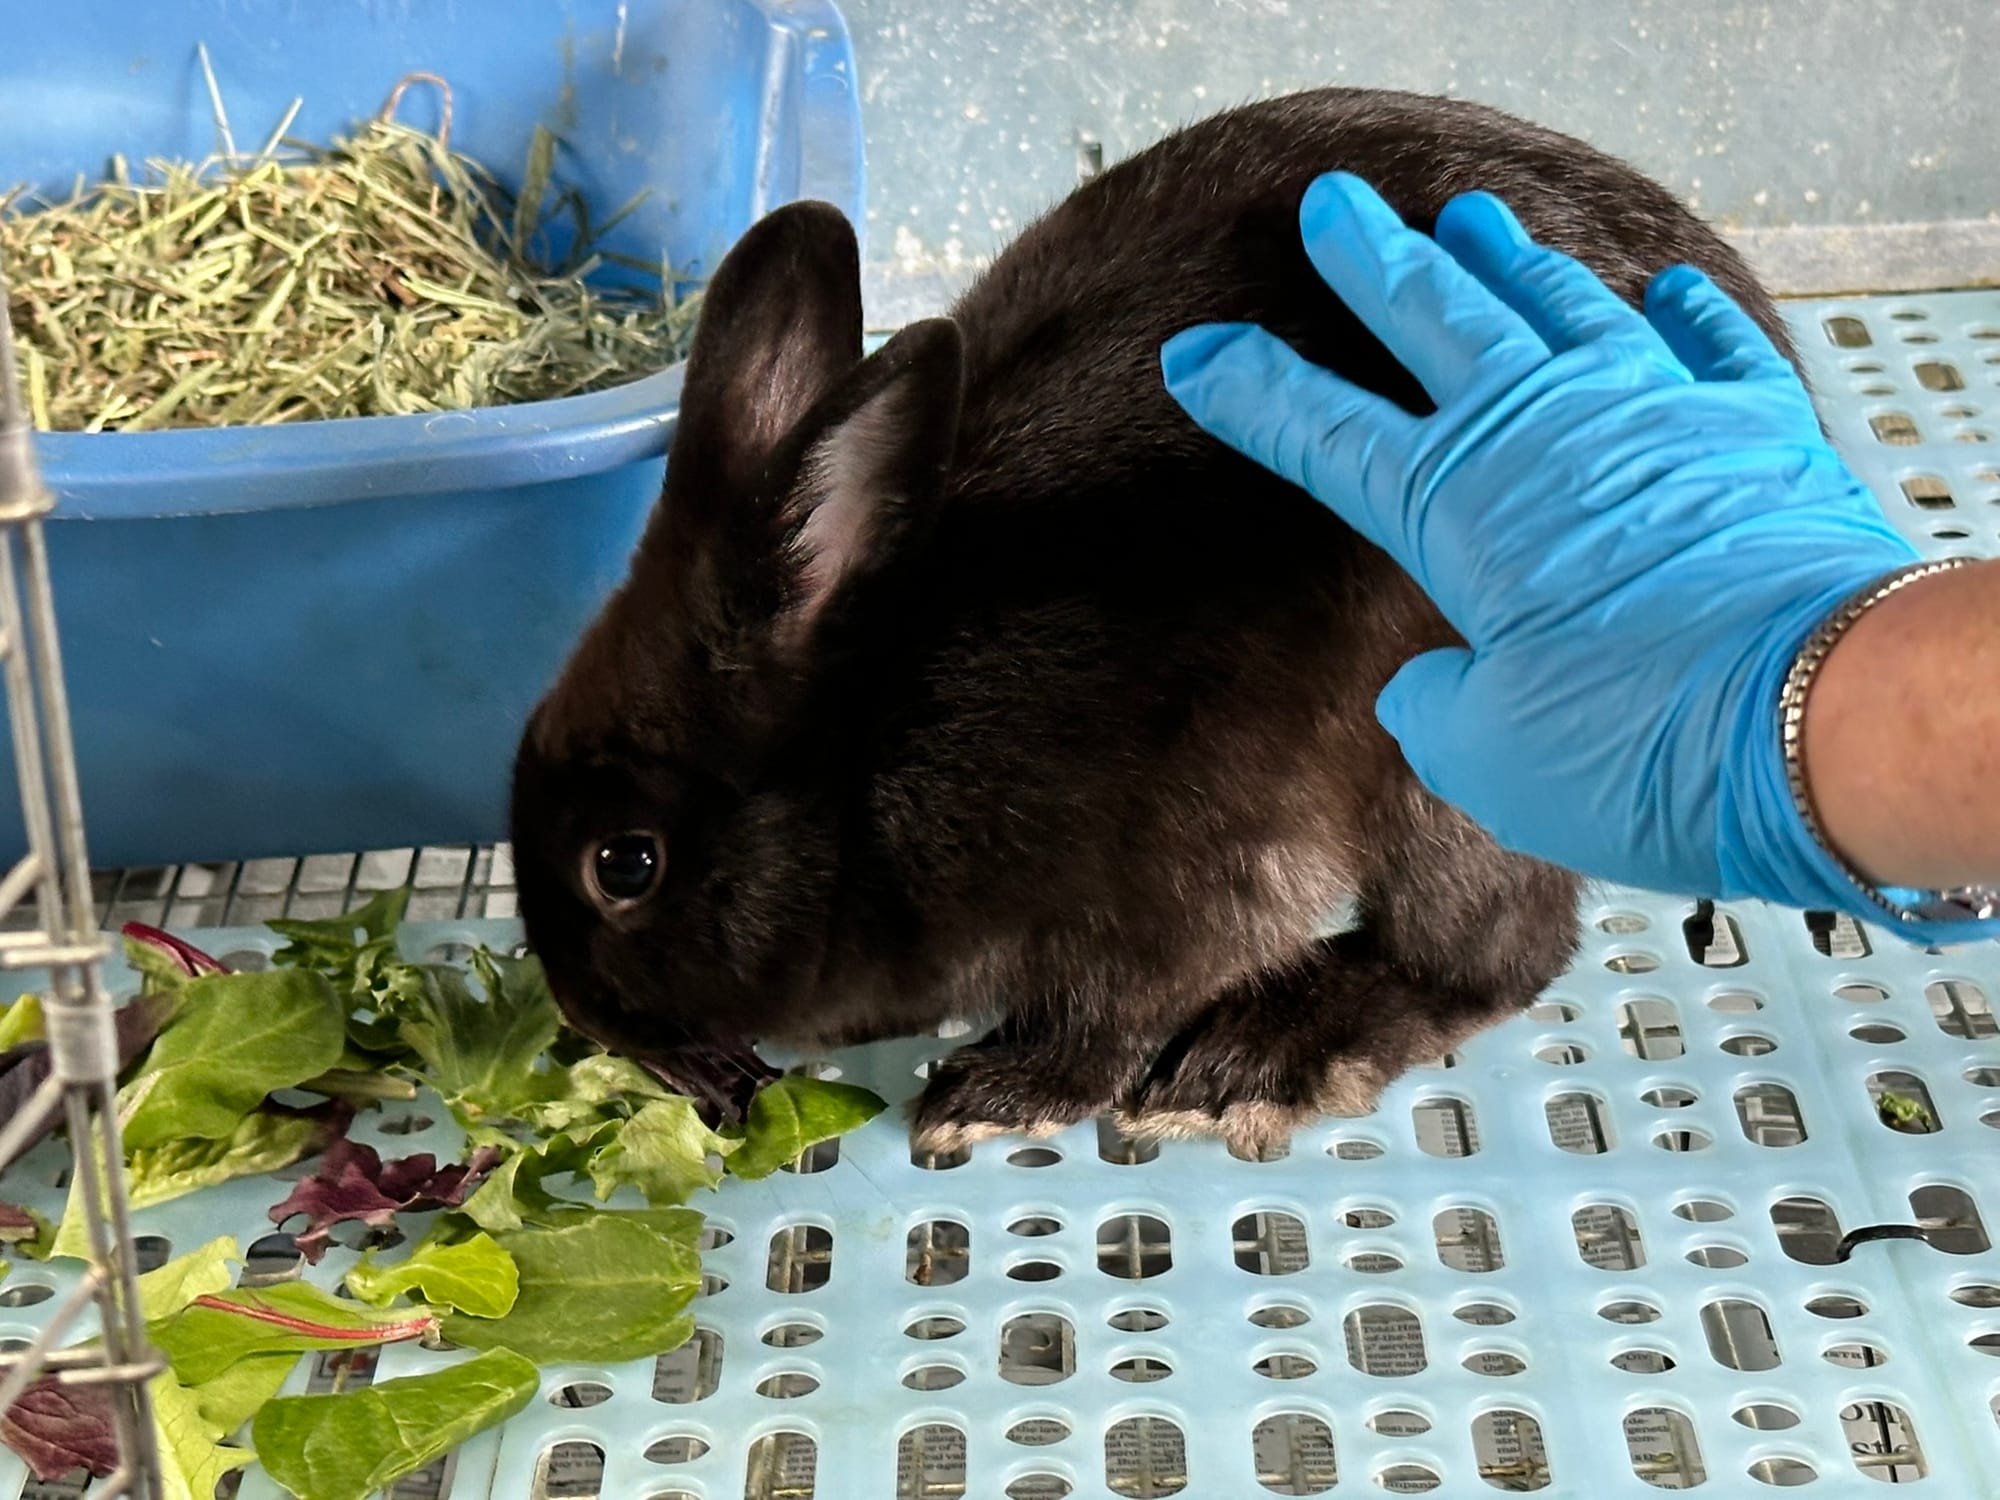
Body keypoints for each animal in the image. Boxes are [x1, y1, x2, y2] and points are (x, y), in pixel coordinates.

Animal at [509, 86, 1799, 1158]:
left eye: (623, 865)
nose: (581, 1012)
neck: (868, 755)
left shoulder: (1184, 882)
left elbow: (1113, 1015)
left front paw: (996, 1097)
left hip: (1458, 751)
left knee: (1488, 952)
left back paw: (1257, 1062)